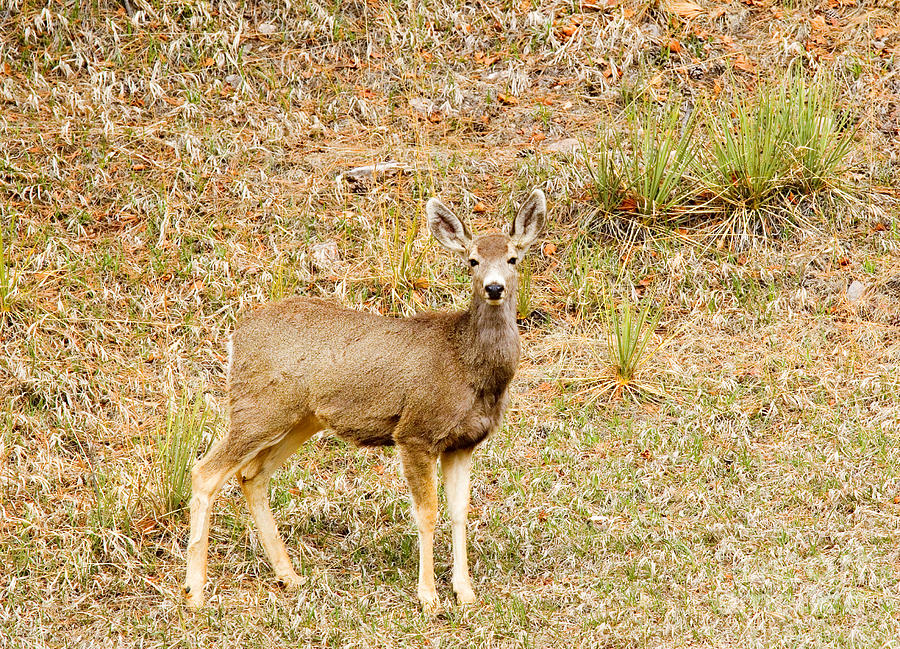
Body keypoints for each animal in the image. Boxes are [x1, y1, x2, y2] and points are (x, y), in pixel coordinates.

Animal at [183, 186, 544, 608]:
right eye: (472, 260)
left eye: (513, 258)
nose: (494, 287)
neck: (468, 366)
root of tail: (236, 335)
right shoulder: (416, 432)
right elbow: (427, 513)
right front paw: (428, 596)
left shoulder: (463, 442)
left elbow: (459, 511)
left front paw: (465, 592)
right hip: (257, 407)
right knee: (205, 472)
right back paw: (194, 591)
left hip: (299, 418)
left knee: (251, 475)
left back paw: (290, 577)